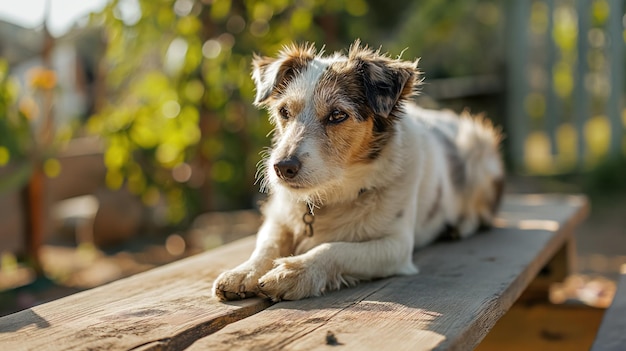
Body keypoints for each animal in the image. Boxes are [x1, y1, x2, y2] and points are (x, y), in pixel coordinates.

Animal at [210, 40, 502, 302]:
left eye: (338, 115)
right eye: (284, 111)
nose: (282, 168)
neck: (333, 194)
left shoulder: (395, 246)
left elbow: (335, 249)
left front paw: (294, 273)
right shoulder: (277, 218)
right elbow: (266, 245)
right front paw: (243, 272)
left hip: (479, 152)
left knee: (482, 215)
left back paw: (459, 227)